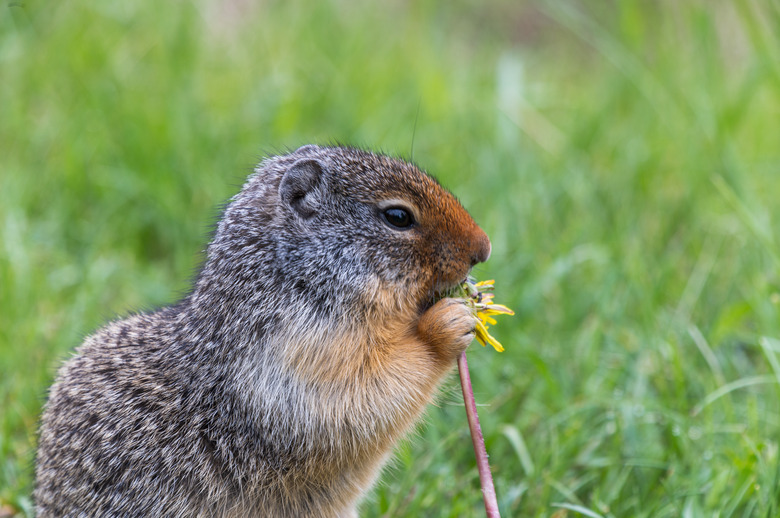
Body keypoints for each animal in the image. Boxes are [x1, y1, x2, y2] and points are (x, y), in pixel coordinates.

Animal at [36, 144, 490, 516]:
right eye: (398, 216)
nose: (483, 249)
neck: (295, 285)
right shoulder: (297, 359)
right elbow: (365, 390)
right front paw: (448, 322)